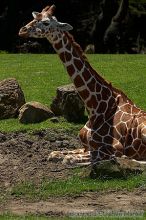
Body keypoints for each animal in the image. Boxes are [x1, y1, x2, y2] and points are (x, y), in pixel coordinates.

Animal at [18, 4, 146, 166]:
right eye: (35, 17)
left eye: (46, 22)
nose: (22, 30)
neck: (95, 107)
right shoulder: (85, 146)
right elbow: (54, 154)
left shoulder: (114, 148)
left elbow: (69, 159)